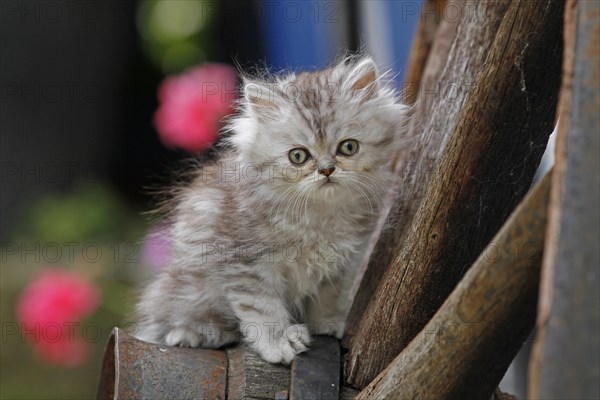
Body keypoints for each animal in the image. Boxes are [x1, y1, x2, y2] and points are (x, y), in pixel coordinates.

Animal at [135, 56, 408, 366]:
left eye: (348, 147)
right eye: (298, 156)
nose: (327, 170)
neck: (319, 215)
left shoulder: (337, 264)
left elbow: (327, 296)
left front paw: (325, 323)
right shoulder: (245, 262)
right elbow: (262, 309)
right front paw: (277, 343)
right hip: (188, 286)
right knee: (173, 318)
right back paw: (194, 333)